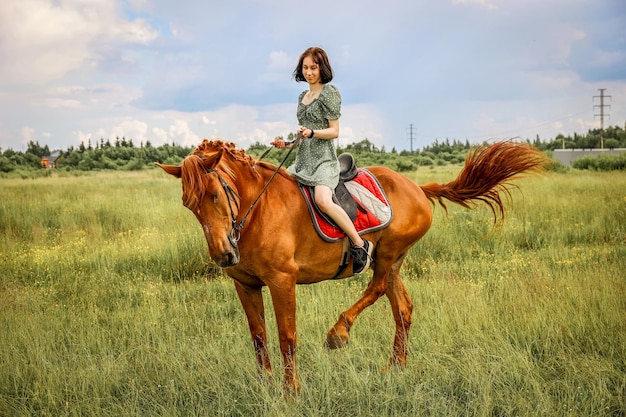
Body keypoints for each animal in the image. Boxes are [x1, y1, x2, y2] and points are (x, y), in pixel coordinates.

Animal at [157, 138, 544, 392]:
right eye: (189, 204)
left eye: (214, 195)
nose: (225, 256)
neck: (258, 209)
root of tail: (417, 187)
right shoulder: (246, 284)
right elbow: (258, 337)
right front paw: (265, 385)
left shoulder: (283, 281)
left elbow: (286, 337)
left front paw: (291, 392)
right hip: (395, 261)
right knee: (402, 308)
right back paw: (395, 367)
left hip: (386, 256)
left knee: (375, 288)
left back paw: (338, 333)